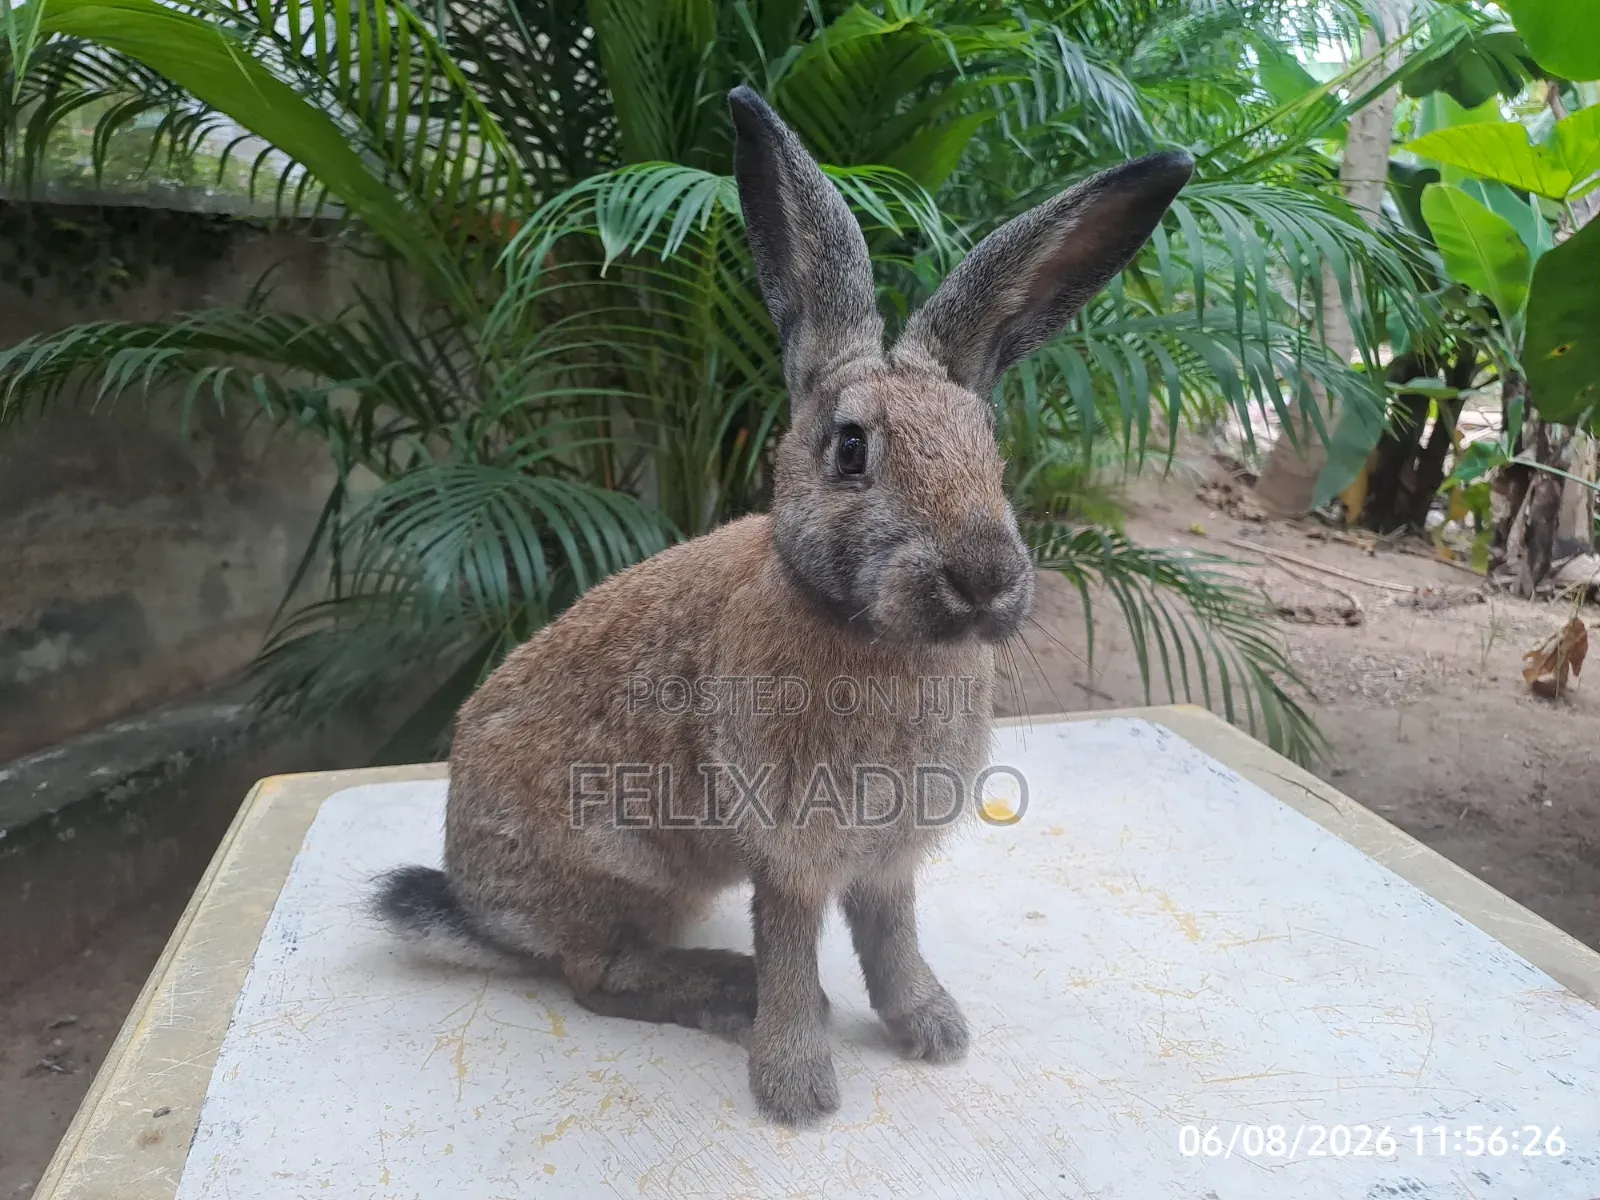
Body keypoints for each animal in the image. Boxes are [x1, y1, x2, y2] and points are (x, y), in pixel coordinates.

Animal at [376, 84, 1192, 1125]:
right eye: (850, 449)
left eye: (992, 450)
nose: (985, 579)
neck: (870, 634)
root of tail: (480, 908)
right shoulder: (790, 851)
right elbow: (796, 951)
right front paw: (798, 1086)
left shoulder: (888, 858)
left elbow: (891, 936)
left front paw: (932, 1030)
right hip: (624, 872)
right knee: (593, 978)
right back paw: (727, 991)